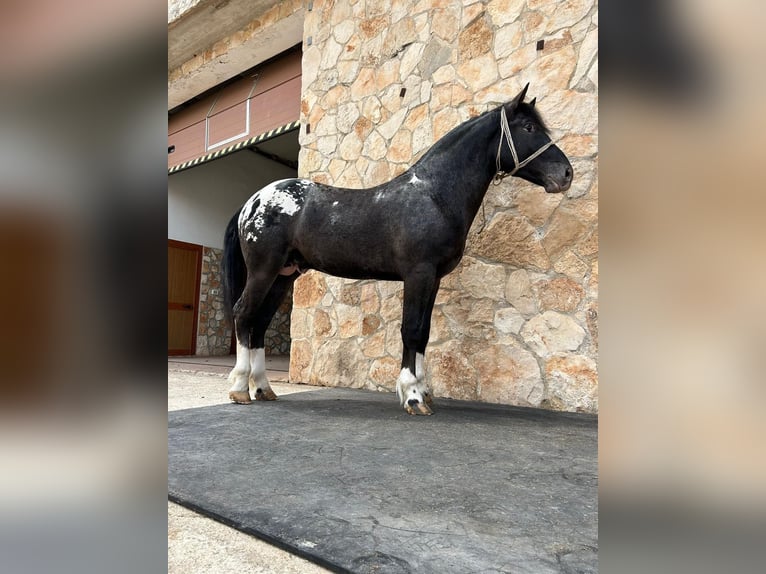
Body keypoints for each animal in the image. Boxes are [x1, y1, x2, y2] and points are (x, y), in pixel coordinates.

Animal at [220, 85, 568, 416]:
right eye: (528, 128)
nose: (566, 174)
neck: (433, 196)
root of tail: (252, 201)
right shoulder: (418, 274)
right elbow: (411, 330)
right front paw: (412, 396)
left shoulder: (433, 279)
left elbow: (423, 332)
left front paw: (423, 393)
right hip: (264, 271)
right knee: (244, 313)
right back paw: (239, 389)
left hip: (283, 276)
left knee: (260, 322)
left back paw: (263, 388)